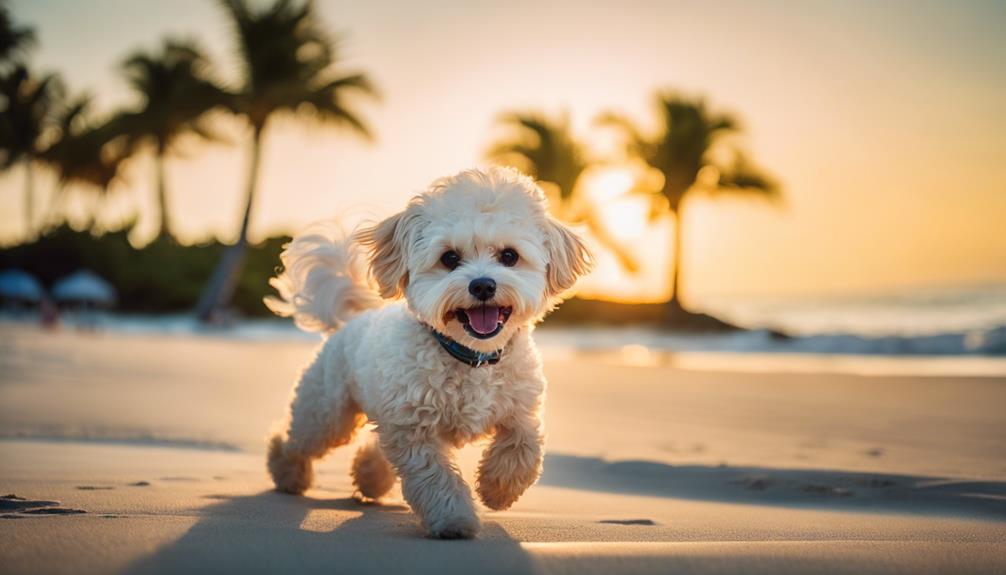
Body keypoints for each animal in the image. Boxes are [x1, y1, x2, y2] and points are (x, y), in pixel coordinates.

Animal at [265, 165, 587, 538]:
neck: (472, 356)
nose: (482, 285)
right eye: (450, 258)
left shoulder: (519, 409)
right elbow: (435, 477)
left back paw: (369, 480)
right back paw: (287, 473)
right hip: (327, 414)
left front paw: (498, 489)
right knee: (298, 440)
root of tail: (351, 320)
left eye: (509, 255)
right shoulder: (414, 429)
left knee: (376, 448)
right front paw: (453, 519)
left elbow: (524, 445)